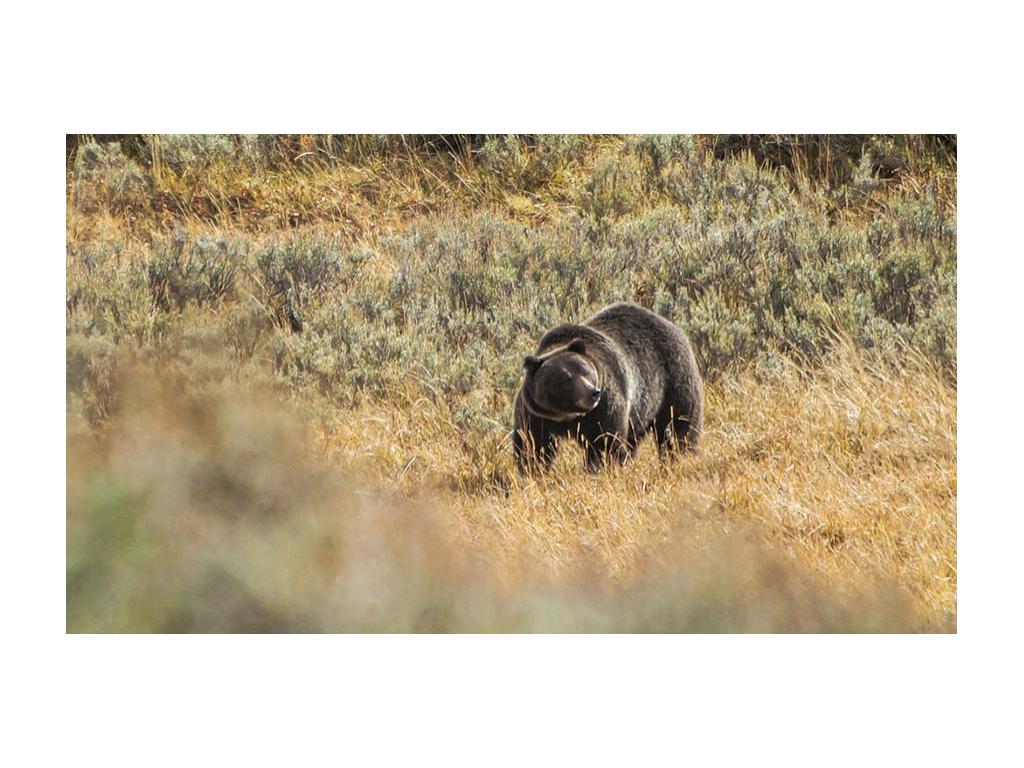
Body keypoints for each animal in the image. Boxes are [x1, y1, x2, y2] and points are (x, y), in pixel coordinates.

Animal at [513, 302, 703, 473]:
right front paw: (532, 470)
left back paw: (680, 458)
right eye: (566, 378)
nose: (593, 393)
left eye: (586, 371)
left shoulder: (605, 405)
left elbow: (605, 442)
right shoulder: (537, 414)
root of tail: (670, 324)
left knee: (678, 428)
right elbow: (533, 445)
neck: (567, 416)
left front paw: (599, 468)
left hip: (673, 381)